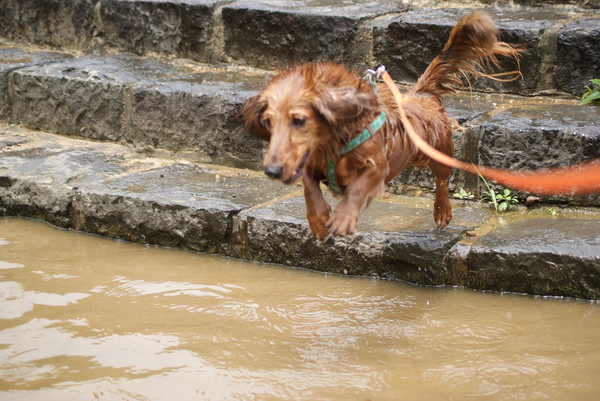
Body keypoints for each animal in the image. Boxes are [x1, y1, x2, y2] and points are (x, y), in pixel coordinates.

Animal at [239, 10, 520, 239]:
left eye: (299, 120)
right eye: (268, 121)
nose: (272, 171)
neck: (331, 144)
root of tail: (420, 94)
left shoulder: (378, 165)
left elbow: (357, 188)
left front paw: (343, 218)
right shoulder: (309, 164)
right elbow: (309, 185)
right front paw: (318, 219)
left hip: (438, 152)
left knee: (442, 181)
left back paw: (442, 211)